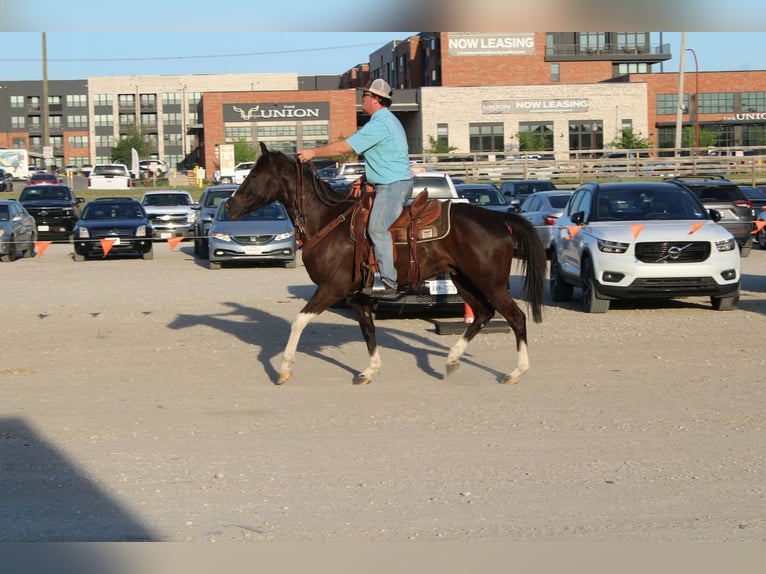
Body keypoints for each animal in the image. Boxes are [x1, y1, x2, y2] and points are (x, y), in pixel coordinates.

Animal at [226, 142, 546, 386]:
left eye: (253, 176)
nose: (229, 206)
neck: (328, 221)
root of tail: (498, 218)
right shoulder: (357, 297)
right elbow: (368, 331)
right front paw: (370, 370)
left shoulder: (331, 288)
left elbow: (299, 322)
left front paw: (284, 368)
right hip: (464, 280)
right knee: (482, 314)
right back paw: (452, 360)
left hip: (491, 282)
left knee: (516, 317)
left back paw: (515, 372)